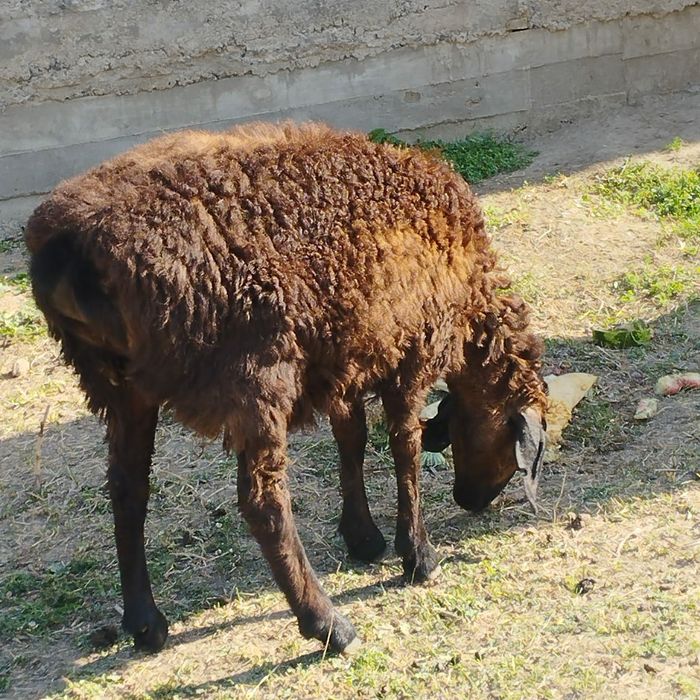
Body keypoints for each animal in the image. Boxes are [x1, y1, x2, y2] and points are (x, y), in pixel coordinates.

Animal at [25, 121, 547, 655]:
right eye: (513, 451)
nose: (470, 501)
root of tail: (69, 249)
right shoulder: (410, 351)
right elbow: (405, 448)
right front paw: (418, 555)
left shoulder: (347, 353)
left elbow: (351, 439)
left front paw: (363, 537)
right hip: (255, 377)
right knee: (263, 503)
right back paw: (328, 624)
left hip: (120, 387)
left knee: (127, 489)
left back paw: (145, 623)